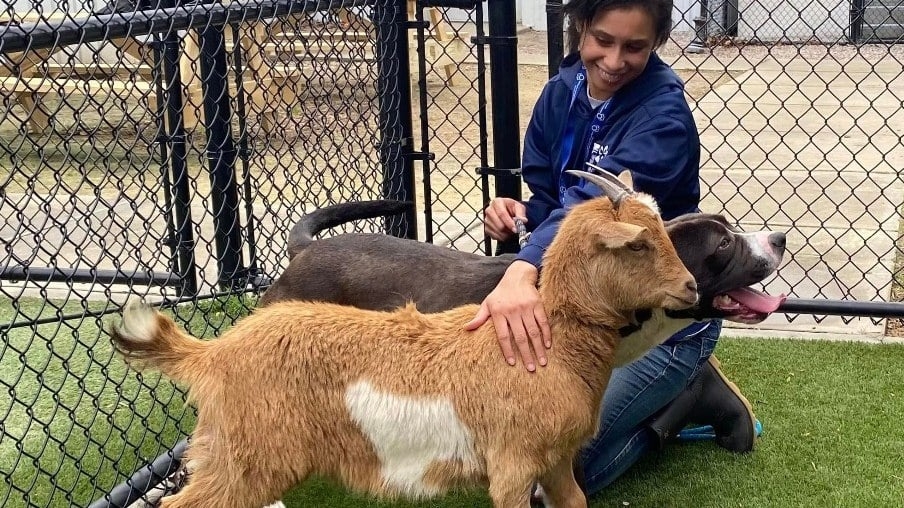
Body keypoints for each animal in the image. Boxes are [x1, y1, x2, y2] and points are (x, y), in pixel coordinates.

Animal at [110, 170, 697, 508]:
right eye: (638, 243)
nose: (691, 286)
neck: (550, 343)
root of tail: (211, 353)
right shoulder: (512, 468)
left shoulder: (554, 463)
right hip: (248, 458)